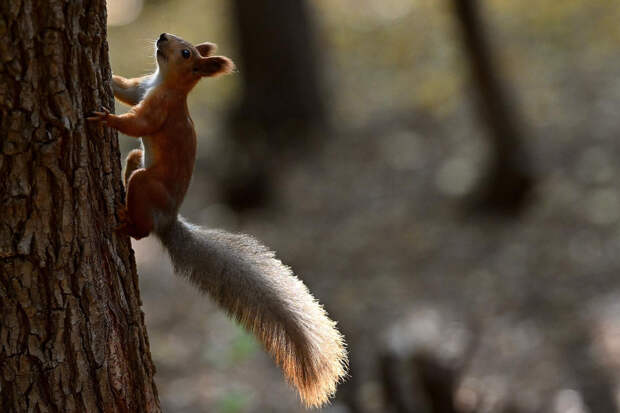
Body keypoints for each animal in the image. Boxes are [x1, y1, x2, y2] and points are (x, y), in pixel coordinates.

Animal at [86, 33, 348, 406]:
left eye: (185, 53)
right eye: (178, 41)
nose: (162, 36)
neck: (164, 82)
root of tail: (168, 220)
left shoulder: (159, 108)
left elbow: (138, 123)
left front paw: (108, 118)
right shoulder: (143, 88)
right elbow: (126, 87)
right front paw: (108, 74)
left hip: (148, 188)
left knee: (141, 225)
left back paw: (126, 219)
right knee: (135, 163)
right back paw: (129, 168)